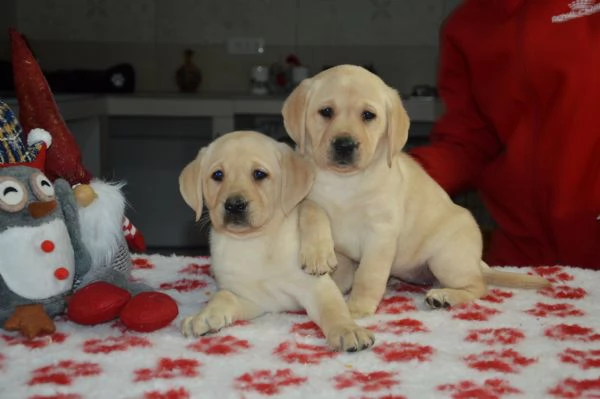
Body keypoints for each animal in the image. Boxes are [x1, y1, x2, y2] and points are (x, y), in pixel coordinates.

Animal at [178, 131, 376, 354]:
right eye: (217, 175)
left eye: (259, 174)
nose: (234, 205)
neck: (255, 241)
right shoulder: (251, 299)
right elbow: (223, 297)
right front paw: (203, 316)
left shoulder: (316, 288)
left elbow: (334, 310)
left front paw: (347, 330)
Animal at [282, 65, 548, 318]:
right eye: (326, 112)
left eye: (368, 115)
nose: (345, 145)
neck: (344, 182)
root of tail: (477, 262)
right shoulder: (310, 199)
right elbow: (312, 210)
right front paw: (318, 254)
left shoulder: (381, 232)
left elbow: (369, 275)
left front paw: (358, 308)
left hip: (447, 258)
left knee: (479, 285)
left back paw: (444, 296)